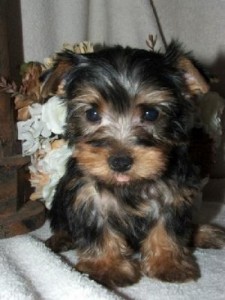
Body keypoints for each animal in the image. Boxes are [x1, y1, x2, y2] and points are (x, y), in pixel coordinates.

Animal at [43, 41, 224, 286]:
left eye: (151, 113)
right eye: (92, 114)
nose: (120, 162)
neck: (130, 185)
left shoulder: (174, 193)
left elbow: (167, 228)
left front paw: (168, 264)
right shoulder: (88, 196)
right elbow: (99, 230)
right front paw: (107, 267)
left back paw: (203, 233)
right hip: (62, 196)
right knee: (60, 221)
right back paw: (60, 239)